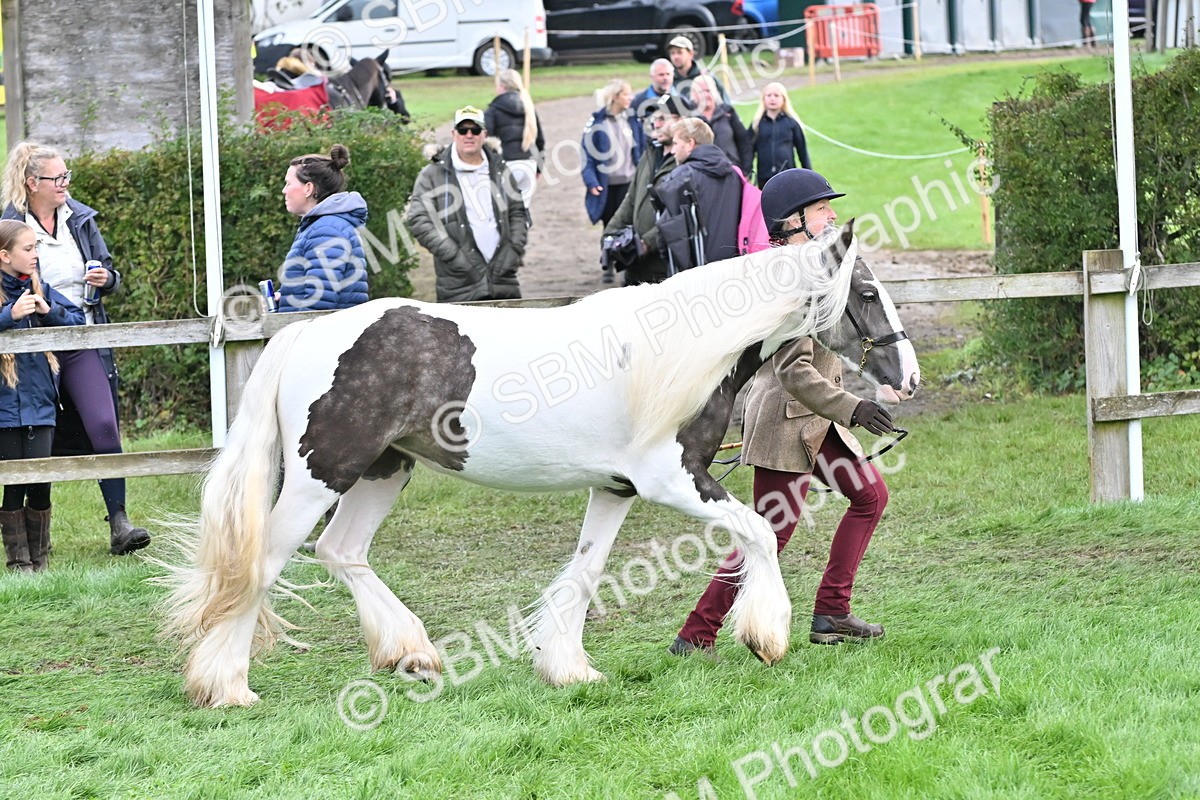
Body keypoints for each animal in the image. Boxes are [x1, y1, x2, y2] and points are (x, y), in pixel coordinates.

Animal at [161, 221, 920, 708]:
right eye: (867, 293)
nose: (907, 377)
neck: (684, 352)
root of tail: (307, 335)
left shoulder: (616, 489)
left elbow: (584, 573)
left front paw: (568, 670)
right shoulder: (674, 479)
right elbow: (759, 533)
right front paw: (767, 637)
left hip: (384, 471)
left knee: (341, 552)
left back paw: (411, 652)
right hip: (323, 473)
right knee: (262, 565)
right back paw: (227, 688)